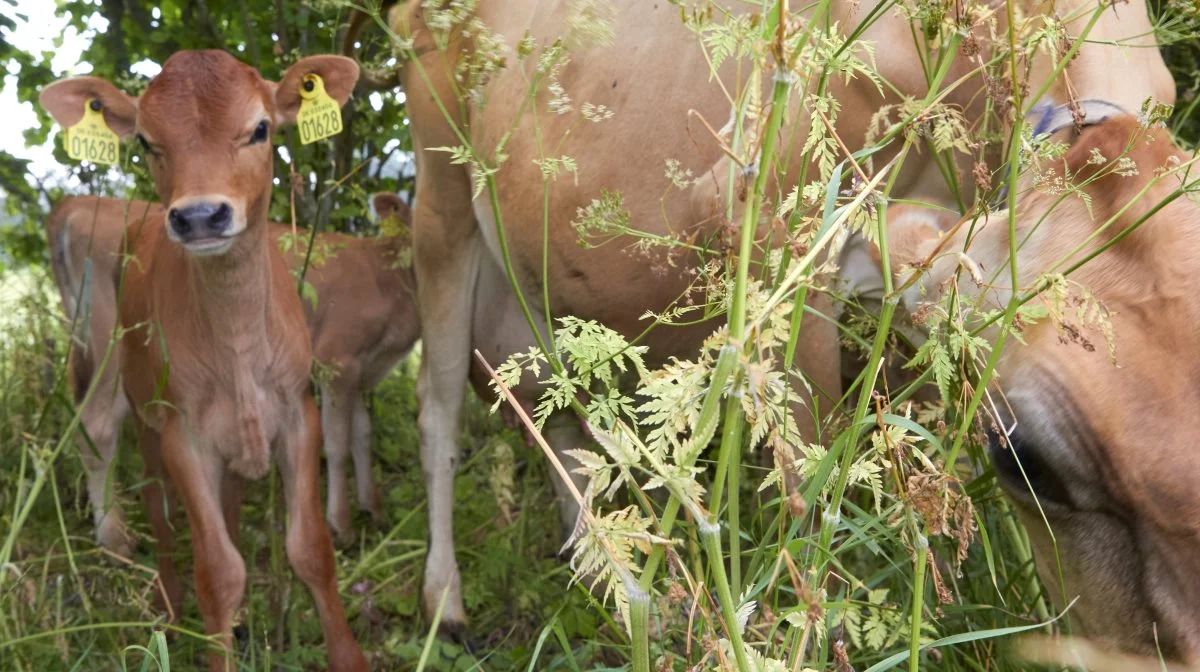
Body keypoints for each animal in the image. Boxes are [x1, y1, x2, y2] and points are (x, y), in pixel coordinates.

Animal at [39, 49, 367, 667]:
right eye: (146, 141)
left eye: (260, 128)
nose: (198, 216)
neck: (238, 342)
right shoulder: (183, 434)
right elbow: (217, 572)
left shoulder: (298, 412)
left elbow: (311, 550)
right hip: (129, 391)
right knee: (147, 496)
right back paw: (163, 603)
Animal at [362, 0, 1171, 633]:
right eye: (1026, 458)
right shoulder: (784, 232)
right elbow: (809, 478)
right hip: (441, 200)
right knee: (440, 410)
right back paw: (448, 601)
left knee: (560, 412)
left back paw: (606, 578)